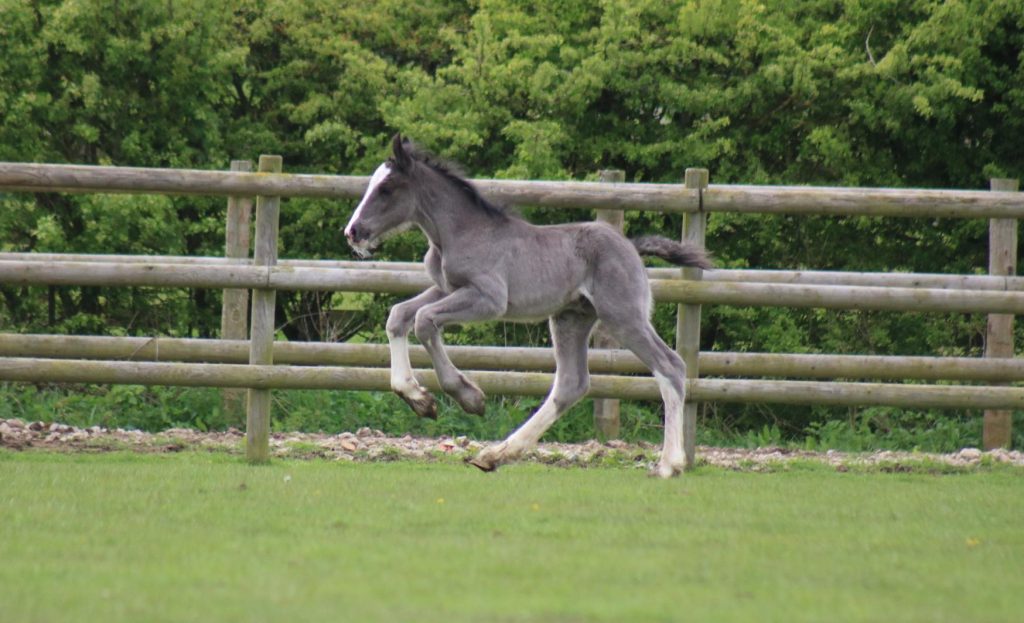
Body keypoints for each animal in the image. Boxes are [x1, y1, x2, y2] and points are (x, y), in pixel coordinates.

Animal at [343, 134, 711, 478]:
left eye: (387, 188)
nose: (353, 232)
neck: (460, 232)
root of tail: (632, 247)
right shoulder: (445, 288)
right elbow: (399, 316)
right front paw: (418, 399)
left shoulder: (489, 299)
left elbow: (422, 320)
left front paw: (468, 397)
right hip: (570, 319)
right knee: (572, 384)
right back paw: (495, 455)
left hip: (623, 317)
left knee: (671, 366)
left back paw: (669, 464)